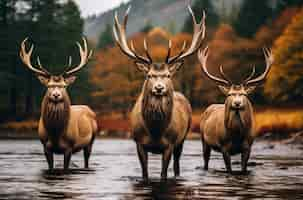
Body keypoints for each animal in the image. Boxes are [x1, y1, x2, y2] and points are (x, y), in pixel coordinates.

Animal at [19, 37, 98, 170]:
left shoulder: (69, 147)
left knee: (87, 159)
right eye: (49, 86)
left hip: (91, 139)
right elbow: (50, 166)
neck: (55, 133)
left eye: (64, 86)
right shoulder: (45, 146)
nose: (56, 95)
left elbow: (66, 167)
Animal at [114, 6, 207, 181]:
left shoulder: (170, 144)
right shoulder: (138, 142)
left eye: (168, 75)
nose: (159, 88)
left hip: (183, 138)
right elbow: (144, 173)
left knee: (177, 165)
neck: (155, 129)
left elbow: (164, 173)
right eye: (149, 75)